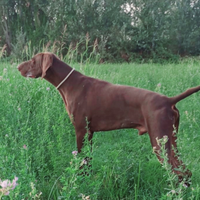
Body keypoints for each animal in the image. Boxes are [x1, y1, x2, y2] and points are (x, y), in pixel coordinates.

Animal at [17, 52, 200, 181]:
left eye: (33, 60)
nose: (18, 67)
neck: (71, 84)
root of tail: (169, 100)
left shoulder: (81, 130)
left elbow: (81, 159)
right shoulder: (89, 133)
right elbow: (88, 161)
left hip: (159, 141)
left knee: (179, 172)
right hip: (171, 139)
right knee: (185, 172)